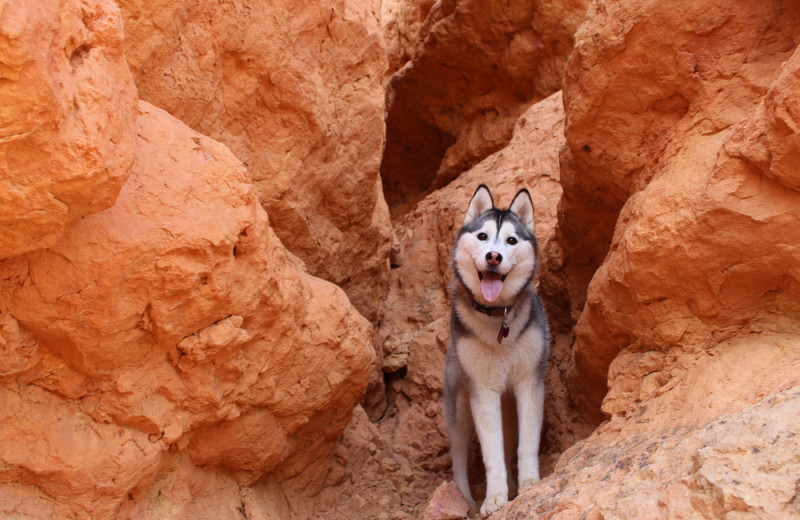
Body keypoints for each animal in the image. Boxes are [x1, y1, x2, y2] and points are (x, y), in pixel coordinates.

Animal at [444, 184, 552, 516]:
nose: (494, 256)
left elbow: (526, 444)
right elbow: (492, 455)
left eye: (511, 240)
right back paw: (463, 499)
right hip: (459, 407)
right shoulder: (482, 392)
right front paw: (494, 497)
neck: (496, 319)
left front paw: (529, 484)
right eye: (482, 236)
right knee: (458, 455)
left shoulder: (529, 383)